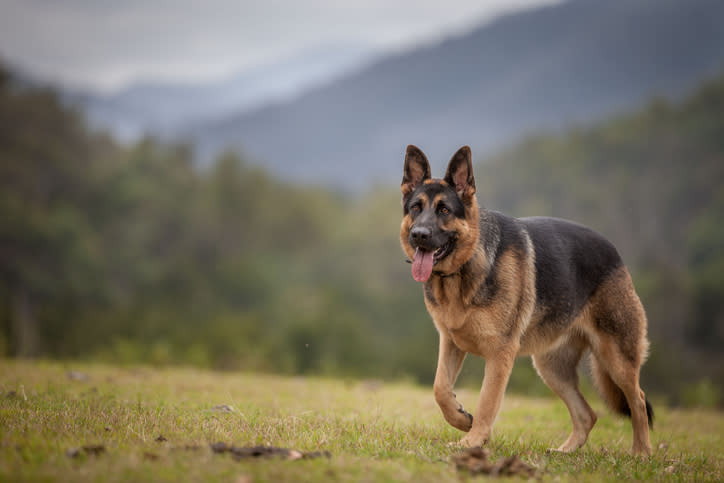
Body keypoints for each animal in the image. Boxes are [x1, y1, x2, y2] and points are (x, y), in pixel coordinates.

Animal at [398, 146, 652, 456]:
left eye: (444, 210)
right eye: (416, 208)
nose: (419, 235)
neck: (466, 266)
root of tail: (615, 251)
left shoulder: (500, 354)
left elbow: (487, 402)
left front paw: (472, 441)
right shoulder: (450, 342)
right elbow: (440, 388)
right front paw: (461, 419)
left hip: (616, 358)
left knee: (638, 400)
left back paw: (642, 452)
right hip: (551, 368)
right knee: (587, 414)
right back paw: (565, 451)